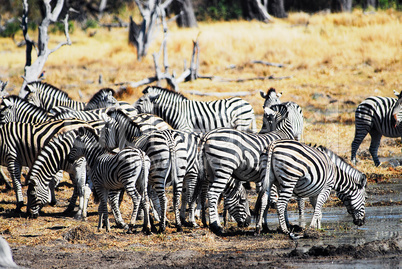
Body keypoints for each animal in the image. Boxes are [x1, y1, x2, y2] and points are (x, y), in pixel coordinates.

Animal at [199, 105, 294, 233]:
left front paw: (264, 225)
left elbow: (264, 198)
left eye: (265, 123)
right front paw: (285, 224)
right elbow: (279, 201)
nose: (248, 223)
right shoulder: (281, 175)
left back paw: (209, 222)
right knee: (213, 193)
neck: (282, 132)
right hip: (224, 166)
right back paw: (216, 226)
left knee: (207, 194)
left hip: (209, 172)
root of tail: (208, 135)